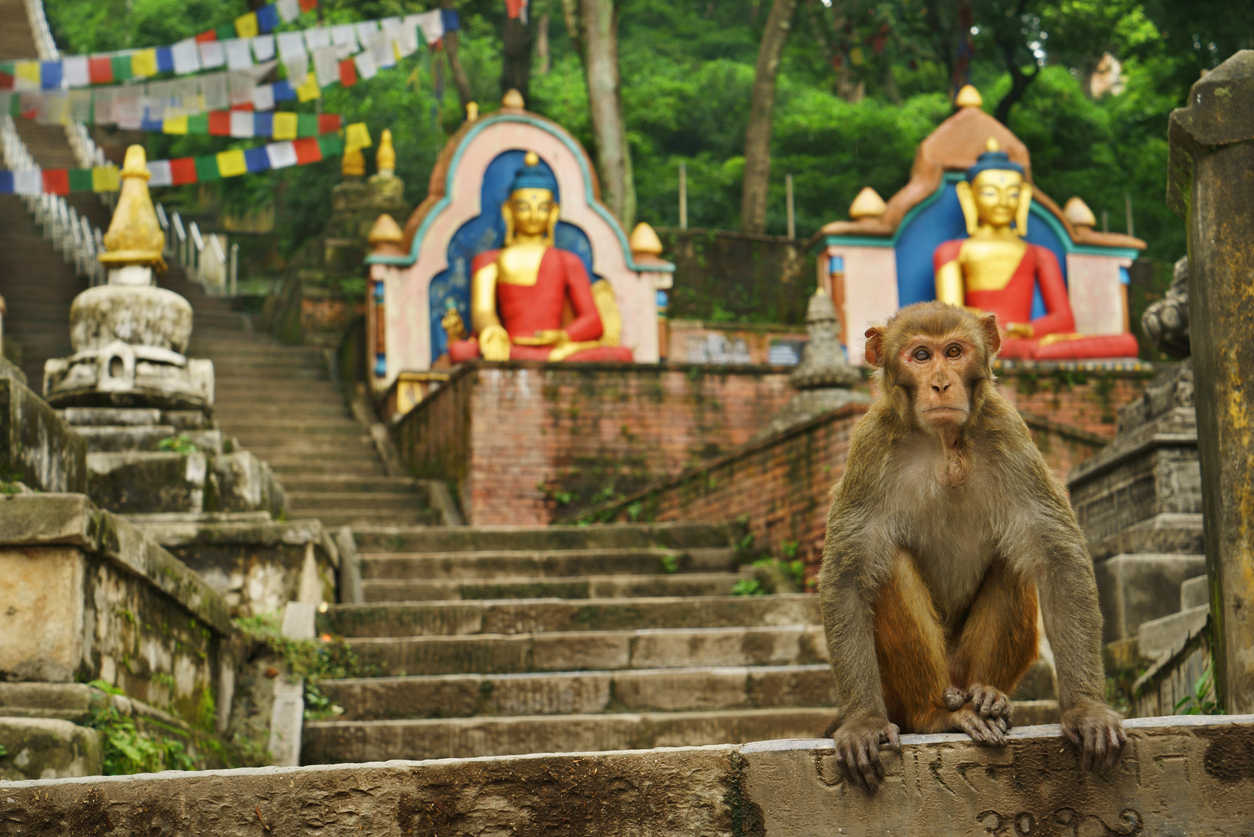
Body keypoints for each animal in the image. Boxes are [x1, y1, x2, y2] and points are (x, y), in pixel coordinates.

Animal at [818, 301, 1125, 791]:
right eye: (920, 355)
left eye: (954, 352)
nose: (942, 382)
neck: (945, 444)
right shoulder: (870, 445)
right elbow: (848, 576)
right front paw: (864, 721)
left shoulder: (1008, 430)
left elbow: (1058, 559)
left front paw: (1085, 708)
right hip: (907, 688)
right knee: (890, 567)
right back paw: (937, 716)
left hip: (965, 665)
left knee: (1014, 560)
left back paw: (989, 697)